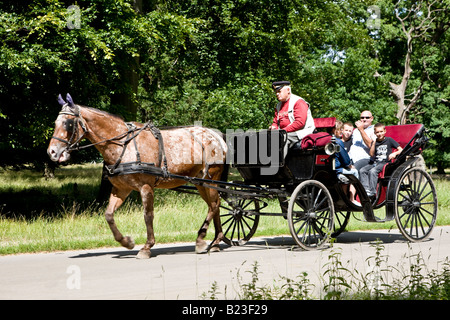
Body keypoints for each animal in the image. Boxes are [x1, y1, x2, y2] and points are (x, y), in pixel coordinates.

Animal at [47, 94, 227, 258]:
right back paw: (216, 242)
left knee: (214, 204)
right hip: (200, 182)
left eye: (68, 123)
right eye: (55, 123)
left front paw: (147, 247)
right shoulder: (121, 188)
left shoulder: (146, 187)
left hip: (211, 178)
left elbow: (148, 215)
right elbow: (109, 215)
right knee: (215, 205)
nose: (52, 152)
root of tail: (216, 136)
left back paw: (201, 239)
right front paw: (126, 242)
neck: (123, 146)